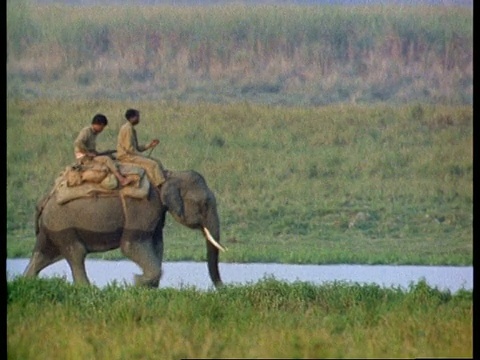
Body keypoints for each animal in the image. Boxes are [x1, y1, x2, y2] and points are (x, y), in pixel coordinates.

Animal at [22, 170, 225, 288]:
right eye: (205, 204)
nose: (222, 288)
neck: (167, 175)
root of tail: (44, 200)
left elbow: (157, 245)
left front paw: (147, 289)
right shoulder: (143, 207)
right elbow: (131, 246)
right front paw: (136, 281)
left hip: (50, 229)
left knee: (42, 255)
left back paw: (25, 282)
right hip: (63, 226)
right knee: (76, 253)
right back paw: (87, 290)